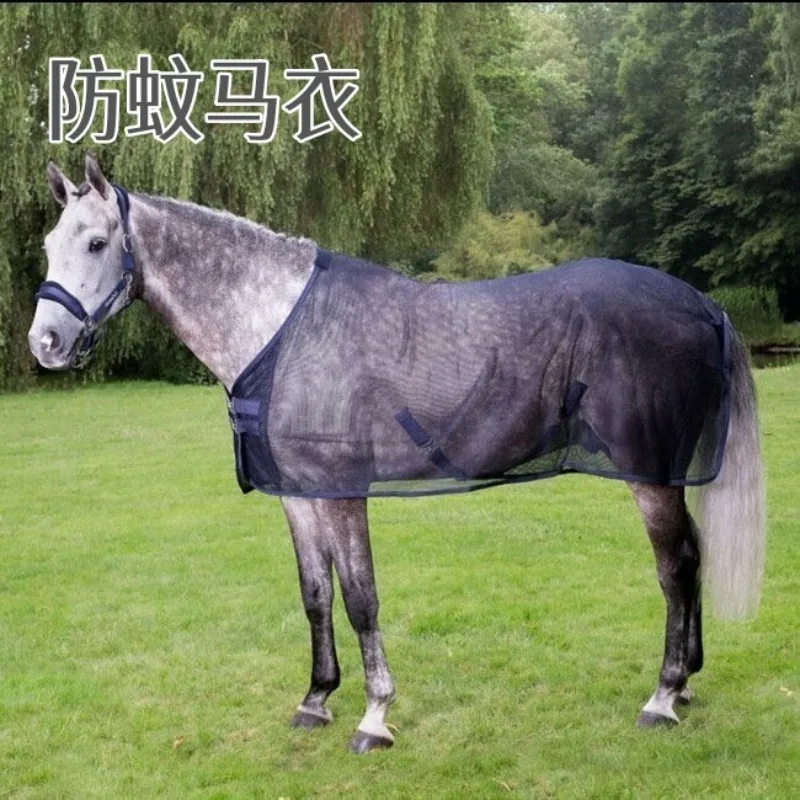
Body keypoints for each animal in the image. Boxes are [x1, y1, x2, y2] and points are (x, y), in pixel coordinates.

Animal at [28, 155, 766, 754]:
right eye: (47, 245)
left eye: (96, 242)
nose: (45, 343)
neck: (282, 329)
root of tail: (703, 305)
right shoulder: (299, 496)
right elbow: (316, 595)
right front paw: (316, 700)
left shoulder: (342, 491)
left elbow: (361, 598)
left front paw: (374, 716)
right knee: (693, 558)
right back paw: (686, 684)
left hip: (650, 475)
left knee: (675, 568)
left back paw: (662, 697)